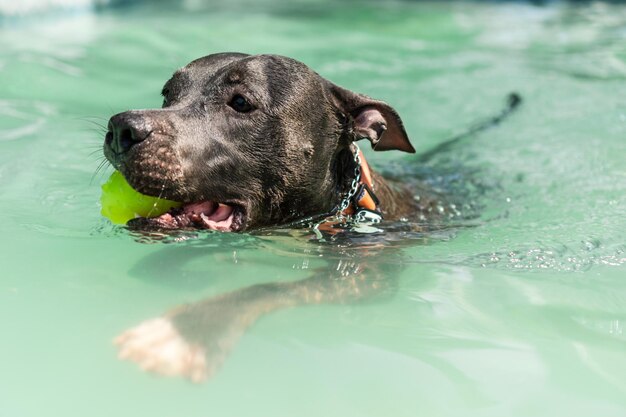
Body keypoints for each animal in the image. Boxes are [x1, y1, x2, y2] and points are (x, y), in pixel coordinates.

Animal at [106, 52, 516, 380]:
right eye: (168, 94)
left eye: (240, 102)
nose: (121, 126)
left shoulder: (361, 277)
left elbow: (265, 288)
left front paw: (190, 330)